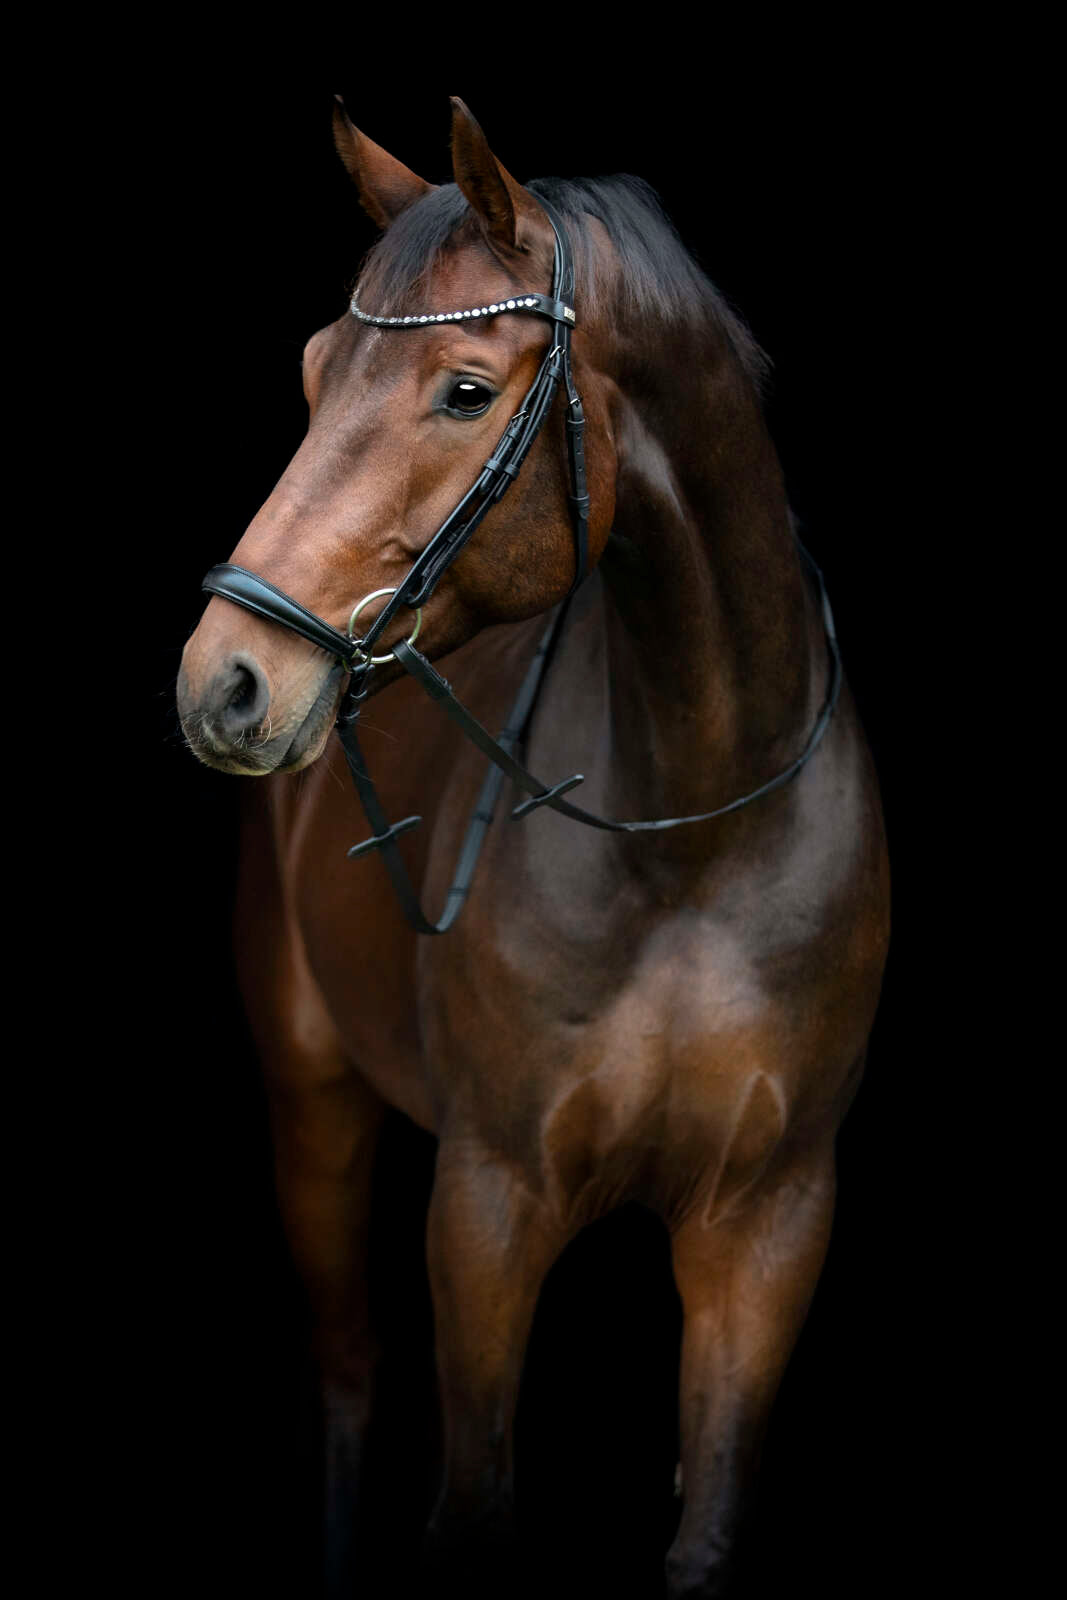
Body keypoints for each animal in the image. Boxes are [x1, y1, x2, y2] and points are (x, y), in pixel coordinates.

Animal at [177, 95, 890, 1598]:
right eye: (314, 369)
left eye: (461, 391)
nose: (226, 682)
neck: (695, 837)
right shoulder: (486, 1205)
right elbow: (472, 1510)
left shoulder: (769, 1222)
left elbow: (705, 1524)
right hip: (312, 1103)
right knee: (344, 1372)